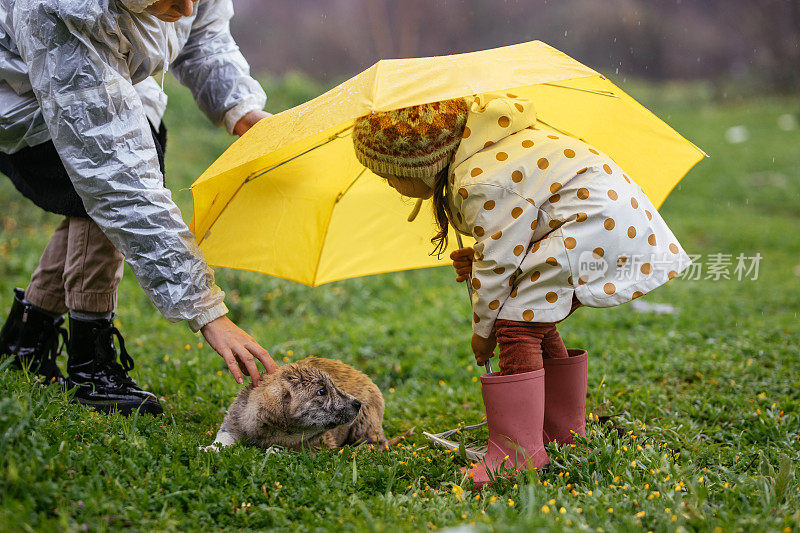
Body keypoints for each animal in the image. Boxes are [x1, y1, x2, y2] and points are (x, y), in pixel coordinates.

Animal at [206, 358, 388, 448]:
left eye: (334, 386)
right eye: (322, 391)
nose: (358, 404)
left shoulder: (318, 445)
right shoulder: (232, 425)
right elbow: (223, 439)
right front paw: (209, 449)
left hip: (366, 423)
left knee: (377, 444)